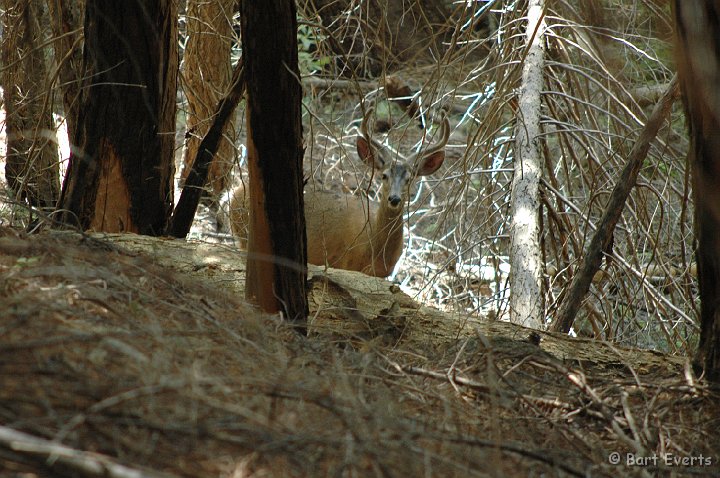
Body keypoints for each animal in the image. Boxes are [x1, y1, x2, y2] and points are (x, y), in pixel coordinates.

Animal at [228, 104, 450, 276]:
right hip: (246, 235)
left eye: (409, 179)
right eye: (384, 175)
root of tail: (232, 194)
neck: (375, 248)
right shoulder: (344, 262)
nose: (394, 199)